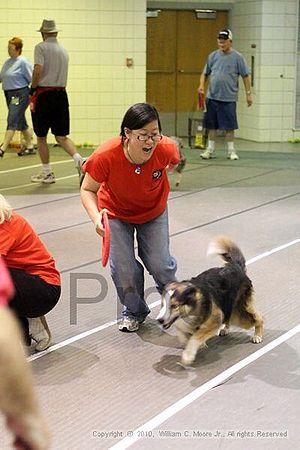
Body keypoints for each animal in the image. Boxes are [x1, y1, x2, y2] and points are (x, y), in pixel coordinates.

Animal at [156, 236, 264, 366]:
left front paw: (188, 355)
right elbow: (184, 334)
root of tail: (236, 267)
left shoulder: (214, 320)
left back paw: (257, 335)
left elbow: (195, 338)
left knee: (258, 318)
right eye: (163, 304)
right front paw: (193, 343)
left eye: (174, 306)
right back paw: (225, 329)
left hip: (239, 314)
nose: (159, 320)